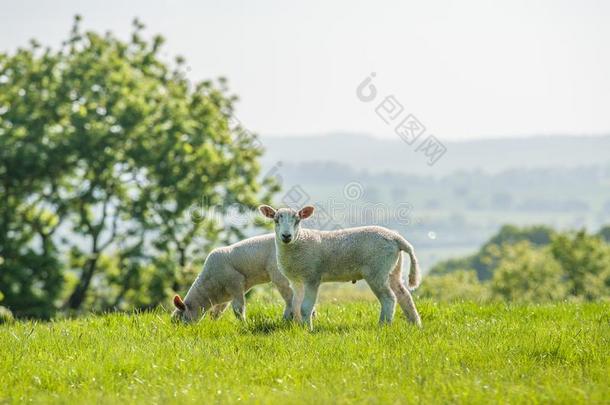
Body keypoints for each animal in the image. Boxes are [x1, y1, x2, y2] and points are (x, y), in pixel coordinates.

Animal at [258, 205, 422, 328]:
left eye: (297, 221)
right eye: (276, 220)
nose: (286, 236)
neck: (298, 242)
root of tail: (396, 238)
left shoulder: (312, 277)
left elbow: (305, 308)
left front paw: (308, 330)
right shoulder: (296, 280)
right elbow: (296, 305)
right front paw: (299, 328)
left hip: (377, 270)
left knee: (389, 298)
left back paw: (383, 325)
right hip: (393, 269)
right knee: (403, 295)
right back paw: (415, 324)